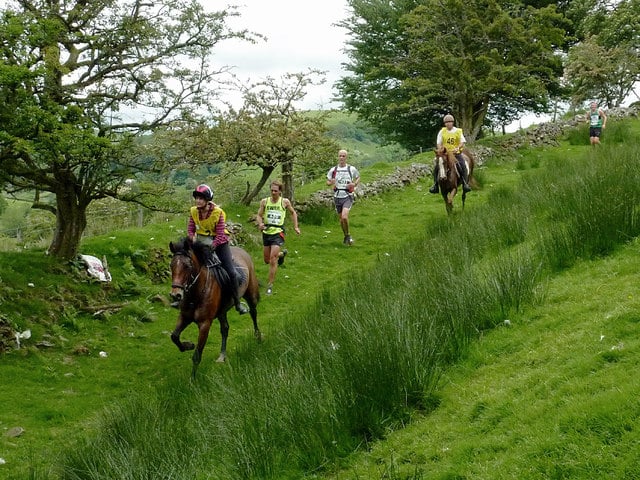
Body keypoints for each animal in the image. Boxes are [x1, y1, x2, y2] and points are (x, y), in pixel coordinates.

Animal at [170, 238, 262, 376]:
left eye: (187, 266)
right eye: (171, 266)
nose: (175, 295)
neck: (196, 294)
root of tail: (242, 251)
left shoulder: (205, 324)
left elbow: (197, 355)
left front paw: (193, 379)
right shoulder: (184, 317)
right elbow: (174, 336)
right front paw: (188, 345)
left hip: (251, 294)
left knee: (253, 313)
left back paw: (257, 336)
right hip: (221, 311)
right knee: (225, 328)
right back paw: (222, 355)